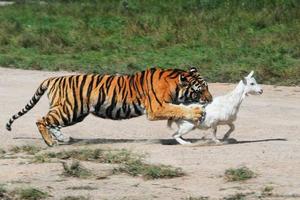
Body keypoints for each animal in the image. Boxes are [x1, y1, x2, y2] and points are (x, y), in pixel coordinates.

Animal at [5, 67, 212, 147]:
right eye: (200, 90)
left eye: (207, 87)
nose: (210, 99)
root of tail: (52, 79)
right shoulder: (157, 108)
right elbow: (178, 109)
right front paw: (197, 113)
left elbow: (177, 111)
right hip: (70, 109)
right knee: (41, 120)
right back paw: (50, 142)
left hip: (73, 112)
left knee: (52, 122)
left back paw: (63, 138)